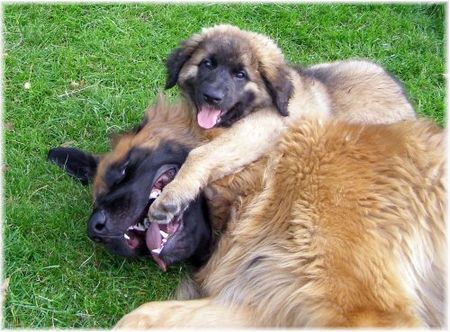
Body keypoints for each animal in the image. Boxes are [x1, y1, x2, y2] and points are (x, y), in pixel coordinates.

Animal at [148, 23, 414, 226]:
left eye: (240, 75)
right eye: (207, 64)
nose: (212, 97)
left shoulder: (260, 129)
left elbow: (200, 154)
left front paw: (171, 197)